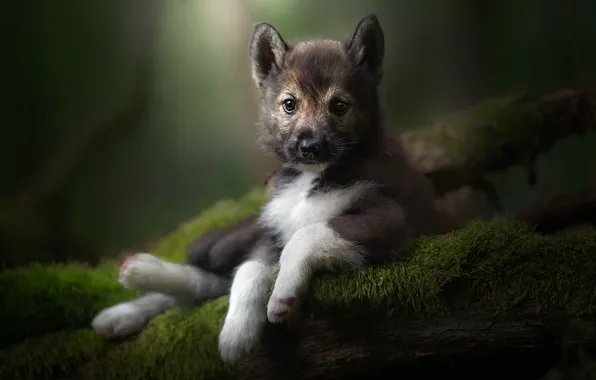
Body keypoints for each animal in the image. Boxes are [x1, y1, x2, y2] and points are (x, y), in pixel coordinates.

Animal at [89, 14, 442, 364]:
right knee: (205, 273)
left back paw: (132, 289)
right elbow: (249, 269)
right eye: (289, 105)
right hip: (229, 240)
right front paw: (238, 330)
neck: (310, 178)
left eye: (339, 106)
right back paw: (133, 289)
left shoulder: (389, 218)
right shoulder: (270, 232)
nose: (309, 147)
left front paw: (283, 292)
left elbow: (308, 233)